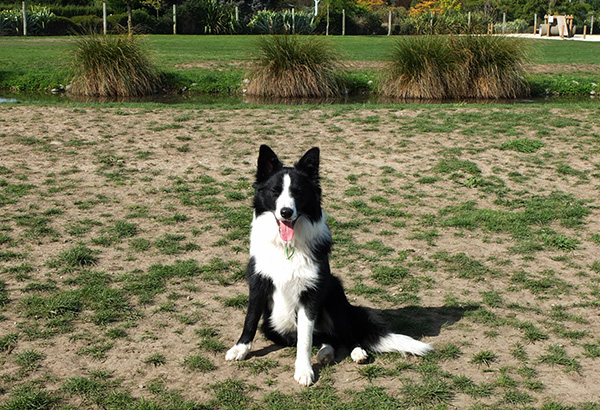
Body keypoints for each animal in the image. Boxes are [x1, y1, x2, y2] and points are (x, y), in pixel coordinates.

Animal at [226, 144, 432, 384]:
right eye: (275, 191)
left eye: (298, 192)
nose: (286, 212)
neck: (288, 246)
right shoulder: (258, 283)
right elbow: (250, 319)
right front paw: (240, 349)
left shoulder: (311, 293)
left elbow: (304, 340)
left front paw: (304, 370)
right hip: (272, 327)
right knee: (325, 338)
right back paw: (326, 352)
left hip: (334, 293)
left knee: (345, 334)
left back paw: (356, 351)